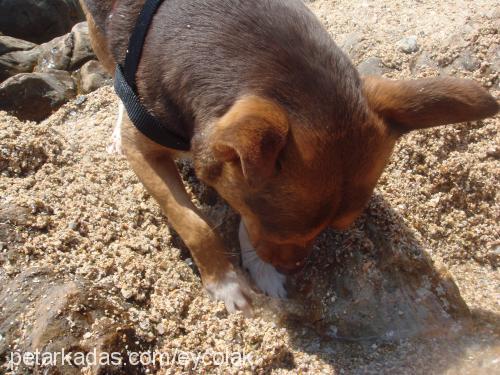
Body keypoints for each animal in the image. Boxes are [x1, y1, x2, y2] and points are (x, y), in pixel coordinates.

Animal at [80, 0, 498, 318]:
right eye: (284, 234)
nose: (296, 269)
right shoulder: (147, 152)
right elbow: (194, 224)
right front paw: (226, 283)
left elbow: (242, 218)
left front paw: (261, 270)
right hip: (98, 33)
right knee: (112, 71)